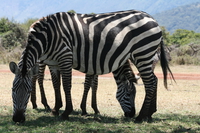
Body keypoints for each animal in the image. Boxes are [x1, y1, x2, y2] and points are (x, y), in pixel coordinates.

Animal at [9, 9, 173, 123]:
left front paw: (67, 112)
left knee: (150, 83)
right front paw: (56, 109)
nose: (18, 119)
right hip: (145, 55)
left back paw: (141, 117)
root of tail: (152, 18)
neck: (48, 36)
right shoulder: (55, 63)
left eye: (27, 91)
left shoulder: (66, 57)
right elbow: (57, 85)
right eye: (12, 90)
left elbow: (69, 85)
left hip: (143, 53)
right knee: (154, 80)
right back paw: (148, 114)